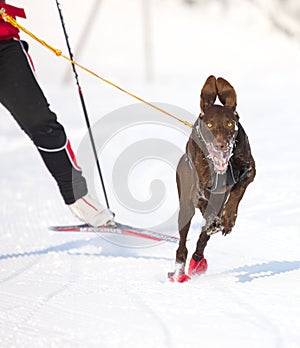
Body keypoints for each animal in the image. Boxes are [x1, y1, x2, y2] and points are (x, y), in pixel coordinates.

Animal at [169, 76, 255, 282]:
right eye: (209, 125)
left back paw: (198, 258)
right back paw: (179, 272)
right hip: (185, 207)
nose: (221, 145)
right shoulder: (200, 189)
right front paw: (216, 220)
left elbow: (237, 192)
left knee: (203, 237)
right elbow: (206, 205)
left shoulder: (250, 170)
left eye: (230, 124)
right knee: (182, 244)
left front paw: (228, 218)